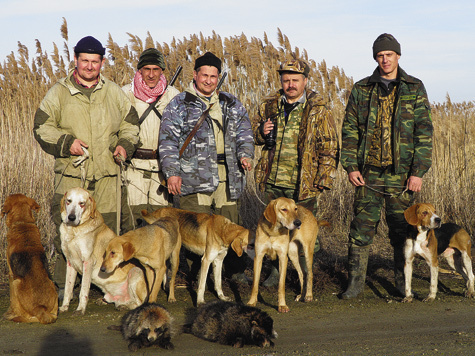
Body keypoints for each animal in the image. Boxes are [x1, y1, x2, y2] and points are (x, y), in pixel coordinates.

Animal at [1, 193, 58, 324]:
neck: (23, 222)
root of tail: (41, 308)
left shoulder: (11, 274)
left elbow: (12, 300)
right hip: (53, 287)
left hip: (16, 282)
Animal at [59, 186, 149, 314]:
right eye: (68, 201)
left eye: (82, 203)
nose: (71, 218)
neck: (73, 231)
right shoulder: (70, 262)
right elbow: (68, 288)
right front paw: (64, 307)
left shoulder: (88, 261)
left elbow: (83, 290)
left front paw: (80, 309)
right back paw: (105, 301)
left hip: (135, 271)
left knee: (139, 303)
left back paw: (125, 306)